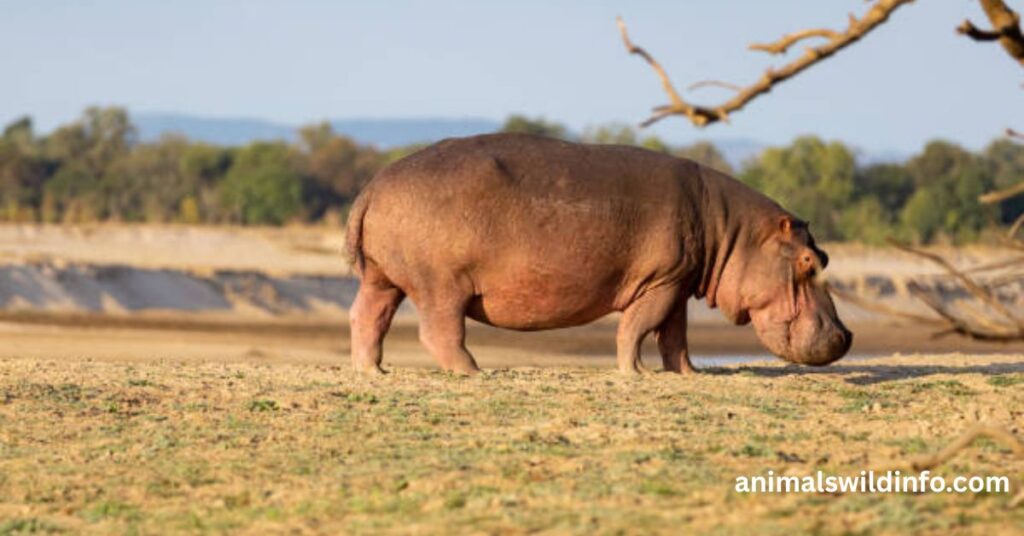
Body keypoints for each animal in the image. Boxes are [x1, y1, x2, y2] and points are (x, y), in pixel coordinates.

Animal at [345, 133, 851, 374]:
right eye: (808, 262)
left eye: (825, 258)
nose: (846, 335)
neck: (734, 231)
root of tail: (372, 186)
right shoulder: (660, 281)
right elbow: (638, 327)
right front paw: (636, 373)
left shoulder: (678, 281)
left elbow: (675, 336)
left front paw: (688, 374)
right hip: (441, 284)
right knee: (439, 330)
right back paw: (474, 371)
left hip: (383, 277)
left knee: (368, 316)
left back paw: (373, 371)